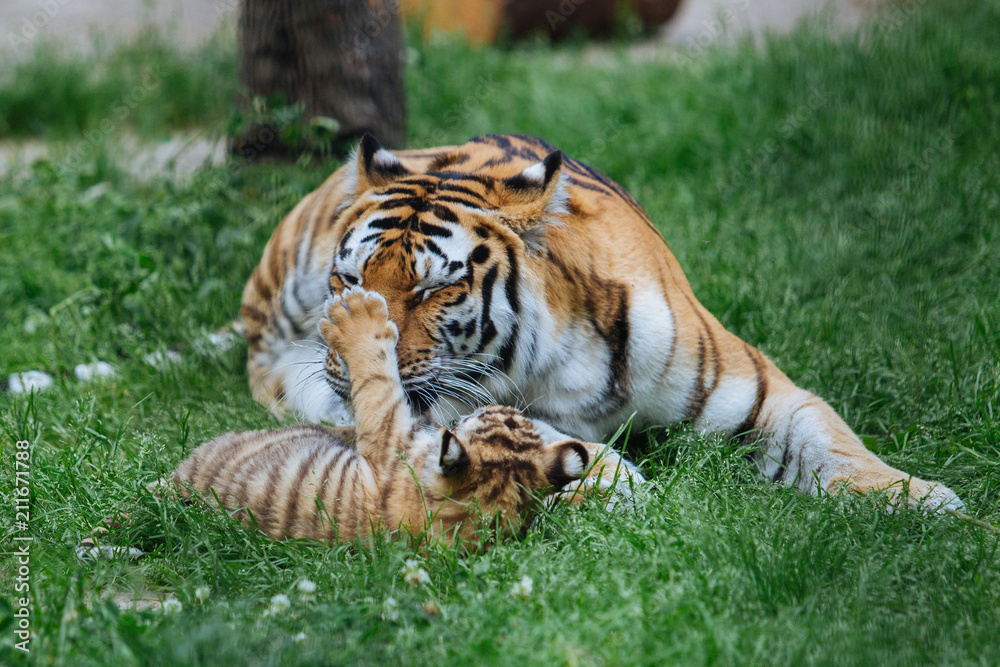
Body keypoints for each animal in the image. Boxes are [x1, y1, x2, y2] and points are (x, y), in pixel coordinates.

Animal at [79, 287, 641, 555]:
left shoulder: (390, 431)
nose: (480, 407)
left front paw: (357, 316)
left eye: (484, 422)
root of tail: (167, 491)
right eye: (500, 419)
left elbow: (376, 378)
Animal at [241, 132, 963, 513]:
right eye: (351, 280)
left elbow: (833, 441)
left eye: (435, 288)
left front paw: (926, 499)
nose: (351, 363)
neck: (559, 362)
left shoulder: (762, 388)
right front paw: (625, 488)